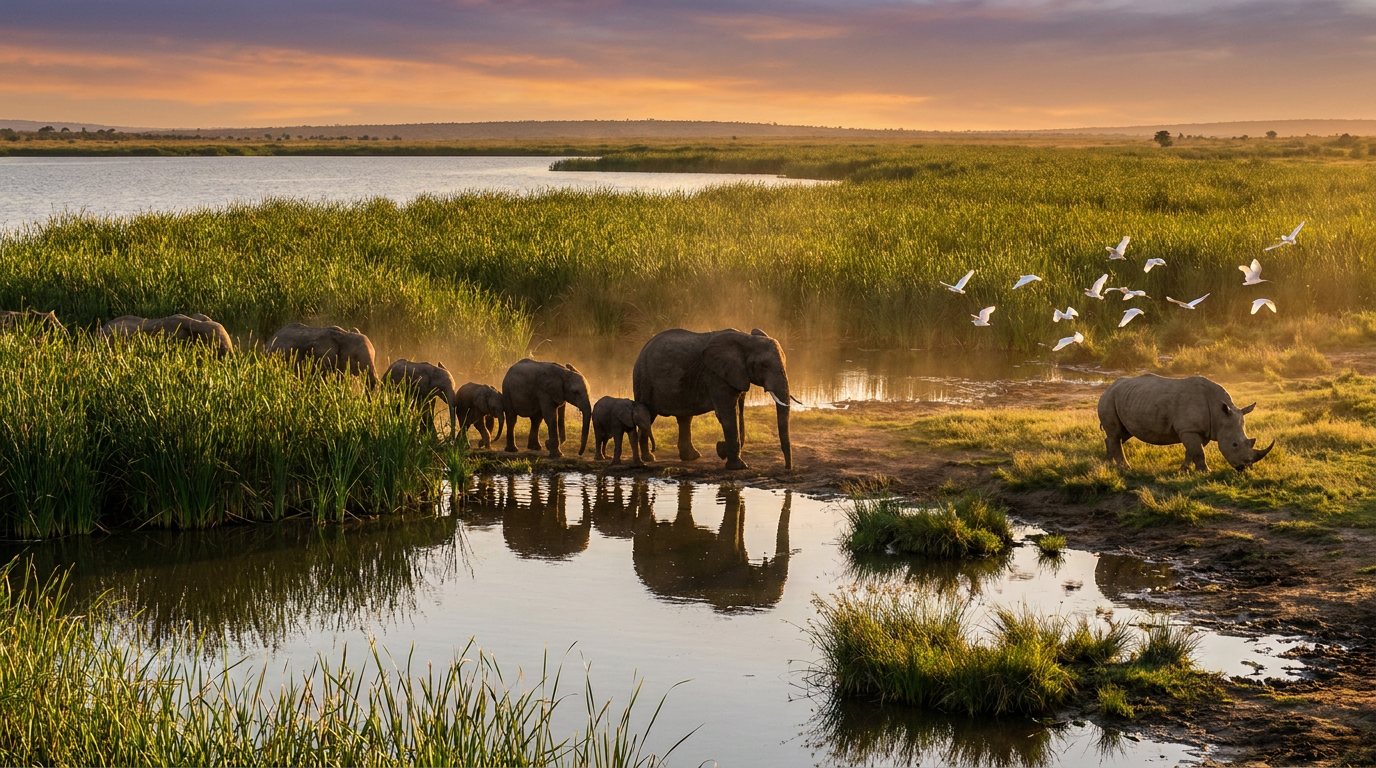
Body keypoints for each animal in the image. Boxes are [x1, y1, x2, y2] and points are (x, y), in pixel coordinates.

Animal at [633, 327, 793, 470]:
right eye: (764, 365)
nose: (787, 468)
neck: (746, 339)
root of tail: (643, 348)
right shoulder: (716, 376)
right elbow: (727, 414)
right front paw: (738, 466)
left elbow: (736, 411)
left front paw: (723, 451)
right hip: (644, 380)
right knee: (648, 414)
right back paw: (649, 458)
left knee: (685, 418)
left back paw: (691, 457)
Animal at [1098, 373, 1275, 471]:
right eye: (1234, 445)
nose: (1245, 468)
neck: (1220, 414)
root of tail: (1108, 387)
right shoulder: (1189, 429)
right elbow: (1198, 452)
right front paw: (1206, 472)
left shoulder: (1202, 430)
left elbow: (1192, 451)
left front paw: (1184, 470)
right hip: (1109, 398)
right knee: (1116, 434)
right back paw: (1125, 468)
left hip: (1127, 398)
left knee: (1121, 434)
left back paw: (1107, 463)